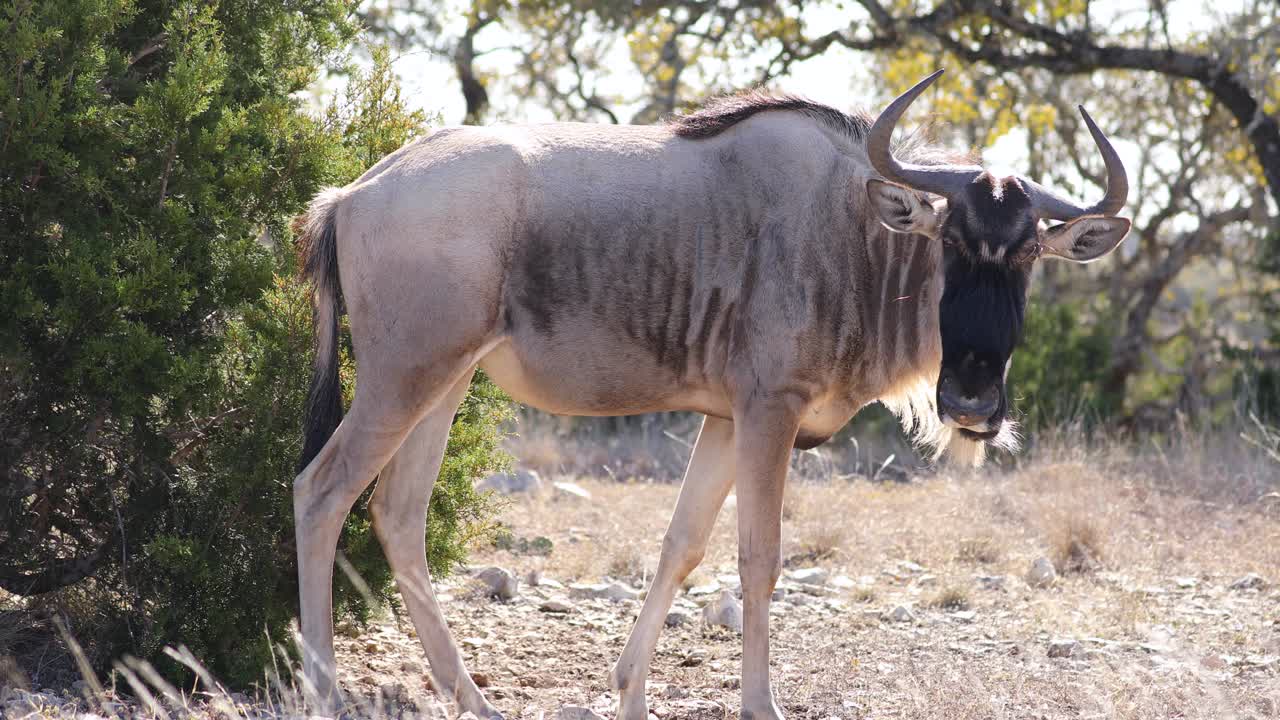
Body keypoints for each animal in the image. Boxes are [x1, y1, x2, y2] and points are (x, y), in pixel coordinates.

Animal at [291, 70, 1129, 719]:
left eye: (1029, 253)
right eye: (951, 241)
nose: (973, 403)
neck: (854, 232)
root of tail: (350, 193)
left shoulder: (725, 421)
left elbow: (681, 545)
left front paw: (630, 691)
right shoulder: (769, 411)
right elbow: (759, 556)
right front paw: (761, 703)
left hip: (444, 383)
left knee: (398, 514)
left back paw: (472, 698)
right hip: (402, 381)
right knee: (322, 491)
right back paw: (324, 691)